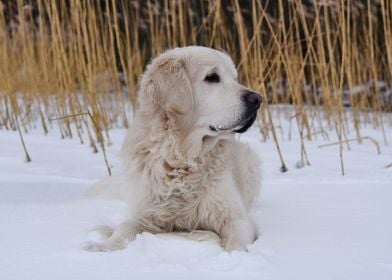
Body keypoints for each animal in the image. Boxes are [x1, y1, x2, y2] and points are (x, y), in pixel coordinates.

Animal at [85, 45, 264, 252]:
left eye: (235, 78)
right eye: (212, 77)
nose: (258, 99)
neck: (182, 158)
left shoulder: (237, 219)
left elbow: (235, 245)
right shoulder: (147, 212)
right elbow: (125, 227)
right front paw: (101, 246)